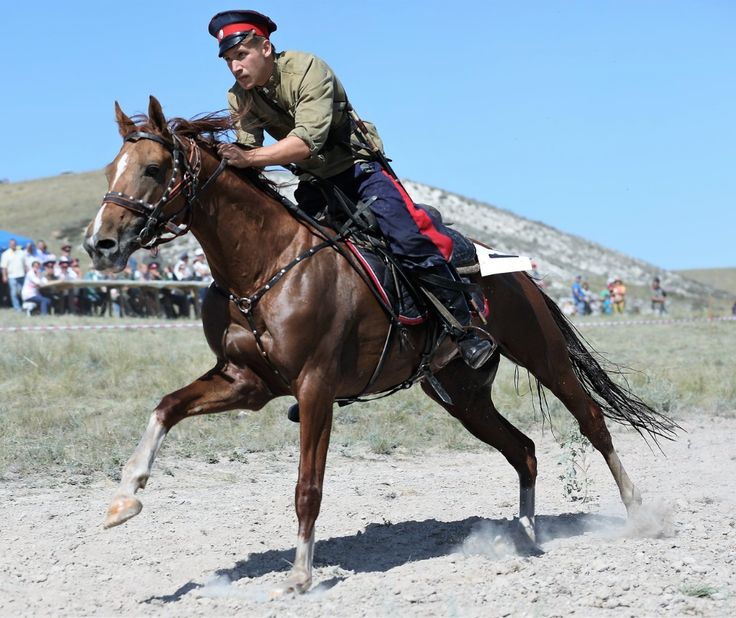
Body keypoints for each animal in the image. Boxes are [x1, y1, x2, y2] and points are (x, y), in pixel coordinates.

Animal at [83, 97, 676, 596]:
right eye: (110, 170)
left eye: (153, 169)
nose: (99, 244)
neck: (266, 264)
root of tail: (512, 268)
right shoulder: (244, 381)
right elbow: (165, 408)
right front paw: (125, 497)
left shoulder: (316, 387)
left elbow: (308, 486)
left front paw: (300, 575)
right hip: (463, 396)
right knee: (523, 449)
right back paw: (526, 535)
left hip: (544, 356)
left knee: (592, 423)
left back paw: (637, 514)